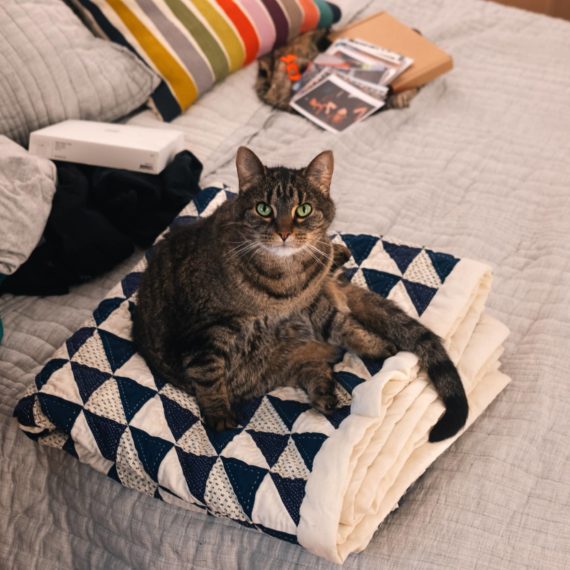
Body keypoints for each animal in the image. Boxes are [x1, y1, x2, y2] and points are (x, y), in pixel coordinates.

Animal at [133, 146, 466, 440]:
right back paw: (323, 389)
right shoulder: (207, 332)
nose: (284, 232)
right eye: (264, 209)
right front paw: (218, 414)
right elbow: (207, 372)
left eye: (303, 210)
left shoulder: (310, 304)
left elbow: (342, 324)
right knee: (313, 365)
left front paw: (374, 343)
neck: (284, 285)